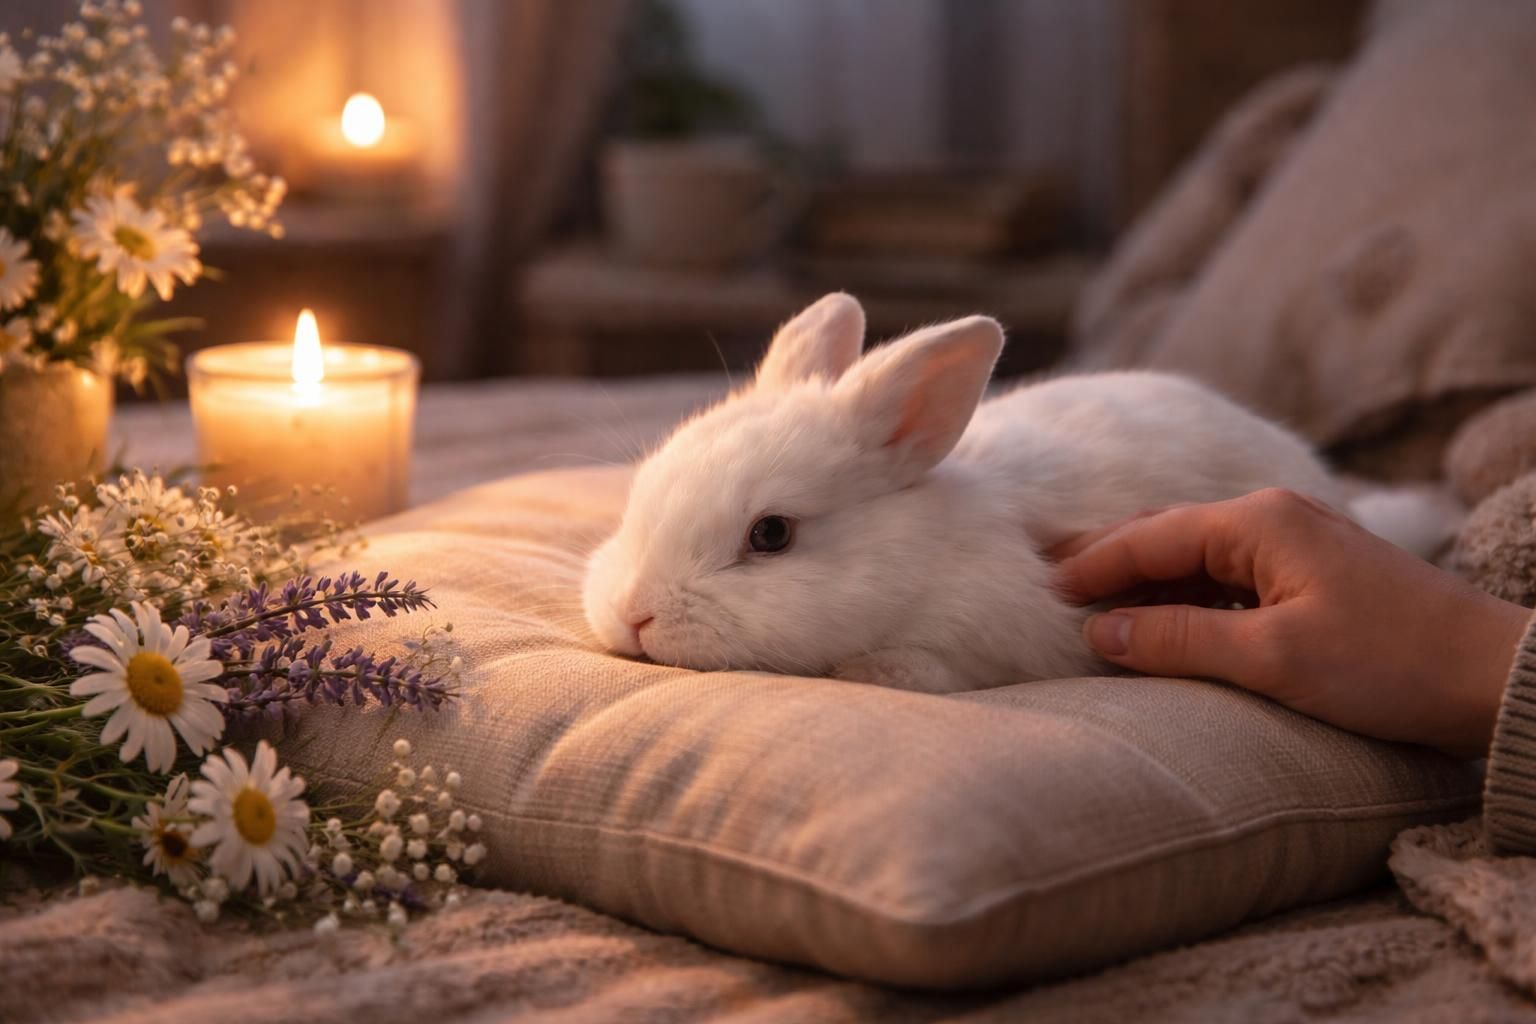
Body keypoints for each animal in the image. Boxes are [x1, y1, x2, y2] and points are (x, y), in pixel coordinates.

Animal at [582, 292, 1366, 693]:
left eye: (770, 534)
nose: (634, 615)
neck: (918, 556)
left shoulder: (1002, 641)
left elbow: (933, 666)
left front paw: (869, 670)